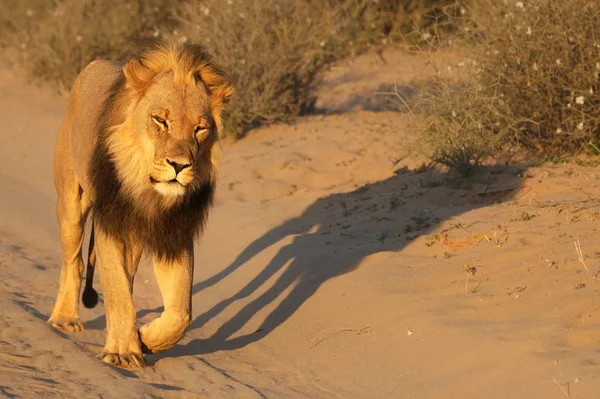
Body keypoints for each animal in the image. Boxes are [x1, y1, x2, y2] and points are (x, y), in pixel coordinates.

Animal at [47, 41, 234, 368]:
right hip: (72, 202)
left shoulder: (175, 236)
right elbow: (118, 291)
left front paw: (144, 340)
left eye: (200, 129)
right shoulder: (112, 225)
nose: (179, 165)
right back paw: (65, 318)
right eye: (160, 120)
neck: (150, 193)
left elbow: (180, 313)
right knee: (75, 260)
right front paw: (123, 351)